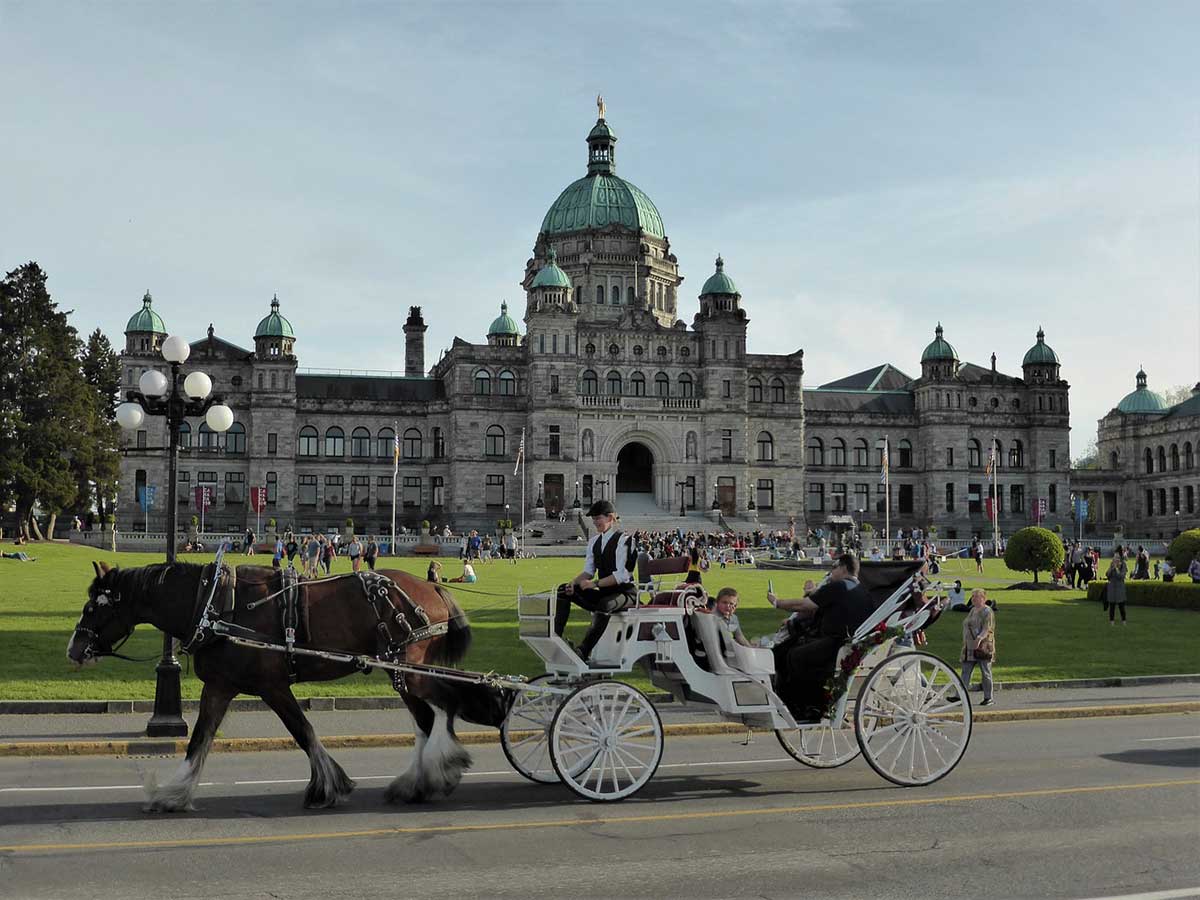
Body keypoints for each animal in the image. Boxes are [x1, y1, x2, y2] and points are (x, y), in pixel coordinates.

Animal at [66, 564, 511, 811]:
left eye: (92, 608)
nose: (73, 649)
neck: (214, 607)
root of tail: (432, 586)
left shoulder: (273, 685)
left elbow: (304, 731)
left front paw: (327, 786)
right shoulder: (221, 686)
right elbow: (200, 740)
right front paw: (173, 794)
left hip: (408, 668)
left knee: (443, 707)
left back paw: (438, 771)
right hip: (401, 671)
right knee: (429, 717)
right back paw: (418, 782)